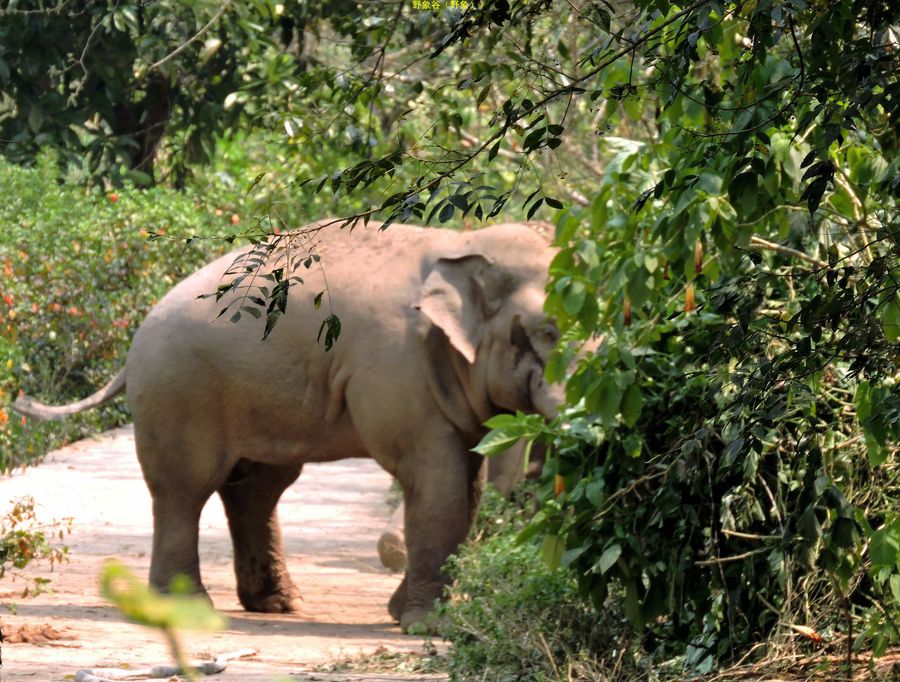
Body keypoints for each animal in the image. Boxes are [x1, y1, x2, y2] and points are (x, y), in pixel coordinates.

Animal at [14, 219, 564, 632]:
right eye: (548, 330)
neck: (463, 241)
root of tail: (136, 337)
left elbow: (466, 485)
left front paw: (405, 615)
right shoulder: (396, 367)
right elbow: (437, 481)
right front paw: (430, 627)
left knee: (257, 488)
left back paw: (278, 604)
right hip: (176, 390)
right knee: (184, 488)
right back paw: (186, 608)